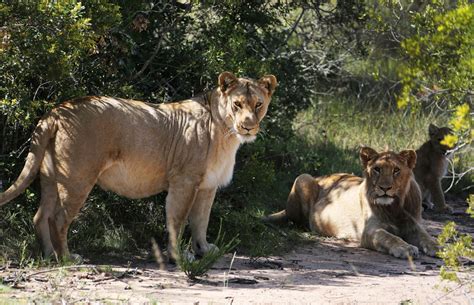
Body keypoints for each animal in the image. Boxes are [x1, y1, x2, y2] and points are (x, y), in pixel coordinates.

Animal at [0, 71, 276, 262]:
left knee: (40, 216)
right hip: (77, 177)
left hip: (49, 175)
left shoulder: (208, 186)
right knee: (57, 219)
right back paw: (66, 258)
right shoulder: (184, 181)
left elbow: (201, 221)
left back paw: (49, 255)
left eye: (258, 104)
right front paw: (178, 257)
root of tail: (56, 111)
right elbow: (179, 220)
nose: (248, 126)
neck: (225, 132)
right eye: (237, 105)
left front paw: (204, 250)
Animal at [264, 146, 438, 258]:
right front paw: (405, 248)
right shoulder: (369, 231)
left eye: (396, 170)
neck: (395, 207)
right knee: (297, 221)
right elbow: (389, 237)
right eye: (377, 169)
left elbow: (426, 236)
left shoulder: (413, 225)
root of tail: (322, 176)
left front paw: (438, 247)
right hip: (303, 177)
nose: (385, 188)